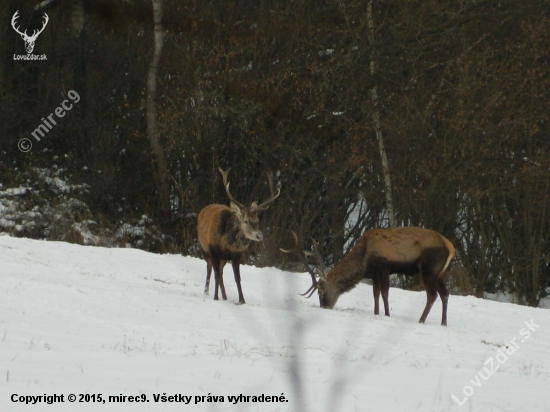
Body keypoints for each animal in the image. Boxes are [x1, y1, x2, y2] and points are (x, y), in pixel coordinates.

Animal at [198, 168, 280, 306]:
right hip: (204, 249)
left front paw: (242, 300)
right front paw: (215, 297)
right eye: (245, 221)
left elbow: (237, 278)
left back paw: (225, 296)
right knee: (210, 269)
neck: (226, 243)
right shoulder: (213, 251)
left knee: (221, 273)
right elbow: (216, 274)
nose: (259, 235)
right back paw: (206, 292)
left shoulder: (236, 255)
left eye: (257, 220)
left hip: (223, 258)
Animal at [286, 229, 454, 326]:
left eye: (321, 293)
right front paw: (376, 312)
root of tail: (451, 248)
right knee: (445, 294)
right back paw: (443, 323)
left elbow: (385, 293)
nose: (325, 307)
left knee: (432, 295)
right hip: (440, 273)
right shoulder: (375, 274)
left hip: (429, 269)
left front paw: (387, 314)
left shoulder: (384, 267)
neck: (364, 261)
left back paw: (421, 320)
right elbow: (376, 294)